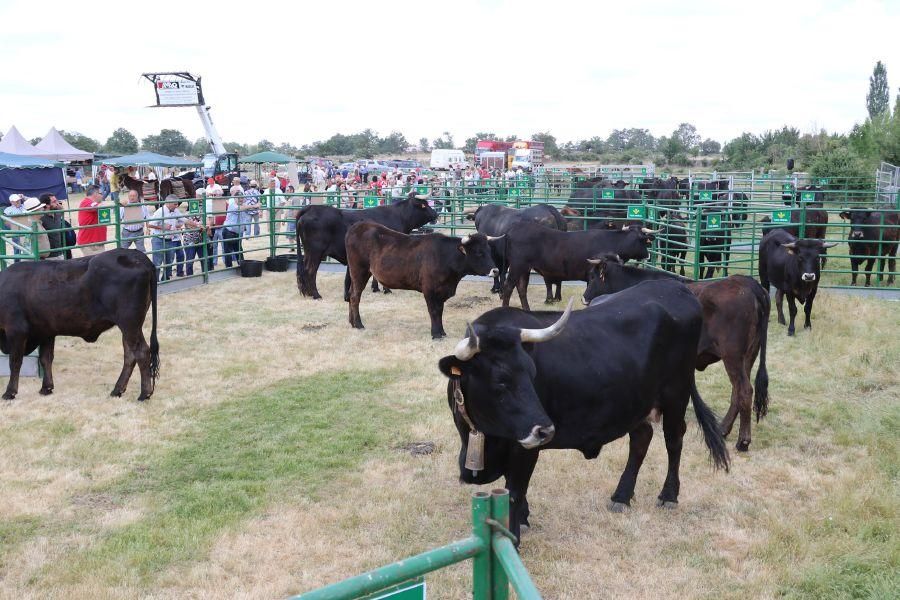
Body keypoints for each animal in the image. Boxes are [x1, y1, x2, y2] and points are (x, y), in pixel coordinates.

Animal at [0, 251, 160, 400]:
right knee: (130, 355)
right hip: (130, 326)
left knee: (142, 352)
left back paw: (144, 393)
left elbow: (15, 361)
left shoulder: (16, 329)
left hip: (129, 323)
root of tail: (136, 255)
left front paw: (9, 392)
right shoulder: (46, 331)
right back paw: (117, 390)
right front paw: (46, 388)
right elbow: (46, 359)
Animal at [298, 192, 438, 300]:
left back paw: (308, 293)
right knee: (310, 271)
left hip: (308, 253)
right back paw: (316, 295)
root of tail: (311, 208)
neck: (399, 216)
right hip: (316, 252)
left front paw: (375, 288)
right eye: (424, 205)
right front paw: (386, 289)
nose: (436, 214)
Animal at [442, 282, 732, 544]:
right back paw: (621, 496)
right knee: (641, 438)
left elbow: (515, 490)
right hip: (635, 401)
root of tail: (677, 288)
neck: (483, 435)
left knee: (674, 439)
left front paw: (513, 535)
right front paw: (524, 518)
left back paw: (669, 495)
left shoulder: (524, 449)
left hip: (676, 394)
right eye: (500, 382)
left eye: (532, 374)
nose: (545, 430)